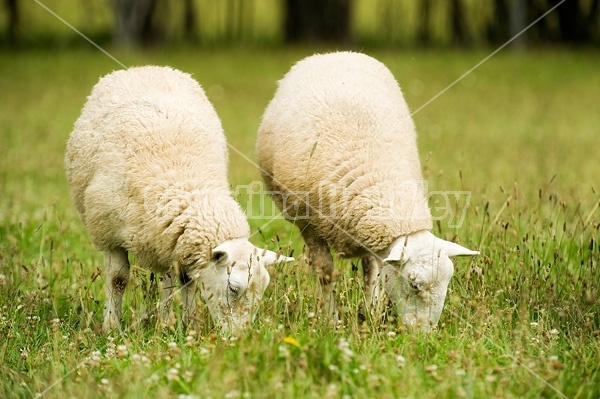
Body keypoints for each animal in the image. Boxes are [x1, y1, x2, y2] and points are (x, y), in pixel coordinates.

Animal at [67, 65, 292, 334]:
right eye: (233, 288)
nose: (239, 337)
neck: (188, 187)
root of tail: (146, 68)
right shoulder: (108, 233)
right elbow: (117, 280)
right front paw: (112, 326)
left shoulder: (176, 242)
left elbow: (187, 282)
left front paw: (189, 322)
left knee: (168, 277)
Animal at [256, 52, 478, 332]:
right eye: (415, 285)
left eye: (448, 282)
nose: (423, 335)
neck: (377, 179)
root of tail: (333, 54)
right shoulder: (309, 225)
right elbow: (325, 272)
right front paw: (332, 320)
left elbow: (374, 274)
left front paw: (371, 313)